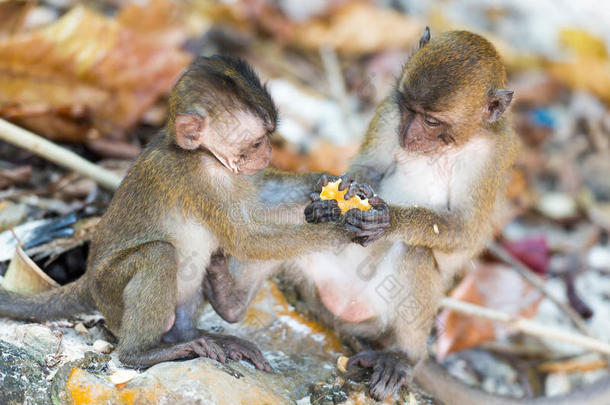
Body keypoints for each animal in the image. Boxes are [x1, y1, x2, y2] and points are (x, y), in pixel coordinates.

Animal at [0, 56, 376, 370]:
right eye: (257, 142)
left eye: (270, 138)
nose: (268, 153)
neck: (204, 155)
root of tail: (89, 281)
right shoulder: (200, 180)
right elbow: (247, 239)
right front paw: (341, 229)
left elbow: (261, 195)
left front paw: (331, 184)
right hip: (109, 292)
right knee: (159, 255)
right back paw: (142, 352)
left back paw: (203, 326)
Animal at [204, 30, 608, 402]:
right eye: (409, 108)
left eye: (431, 120)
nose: (408, 133)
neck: (449, 145)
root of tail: (343, 306)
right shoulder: (388, 113)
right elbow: (365, 169)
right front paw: (334, 194)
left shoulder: (492, 156)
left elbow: (464, 230)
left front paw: (390, 221)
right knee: (290, 225)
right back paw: (231, 299)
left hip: (380, 316)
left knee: (415, 252)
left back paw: (403, 357)